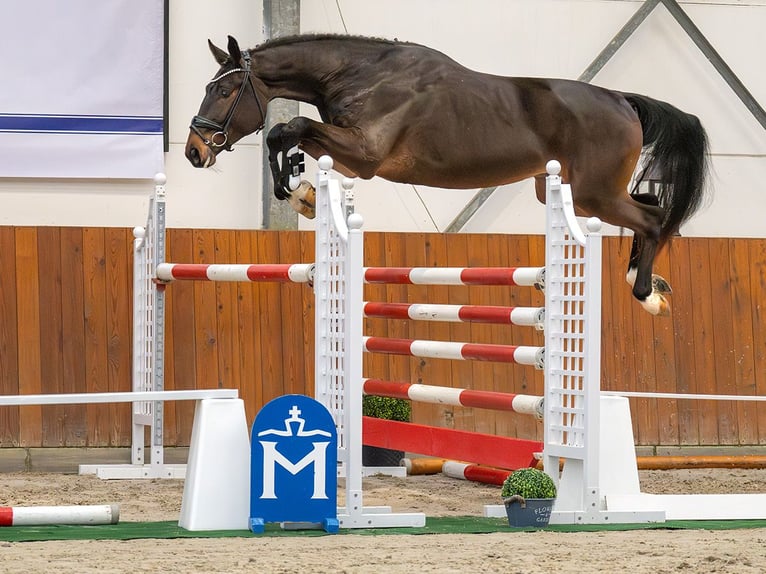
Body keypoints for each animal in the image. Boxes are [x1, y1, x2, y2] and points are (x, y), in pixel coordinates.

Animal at [188, 33, 712, 318]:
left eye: (226, 91)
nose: (195, 151)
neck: (358, 74)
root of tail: (623, 100)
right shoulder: (350, 152)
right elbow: (292, 136)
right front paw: (302, 191)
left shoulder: (366, 154)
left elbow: (286, 128)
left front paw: (291, 188)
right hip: (576, 193)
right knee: (652, 206)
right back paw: (648, 282)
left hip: (593, 192)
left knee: (652, 217)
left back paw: (646, 295)